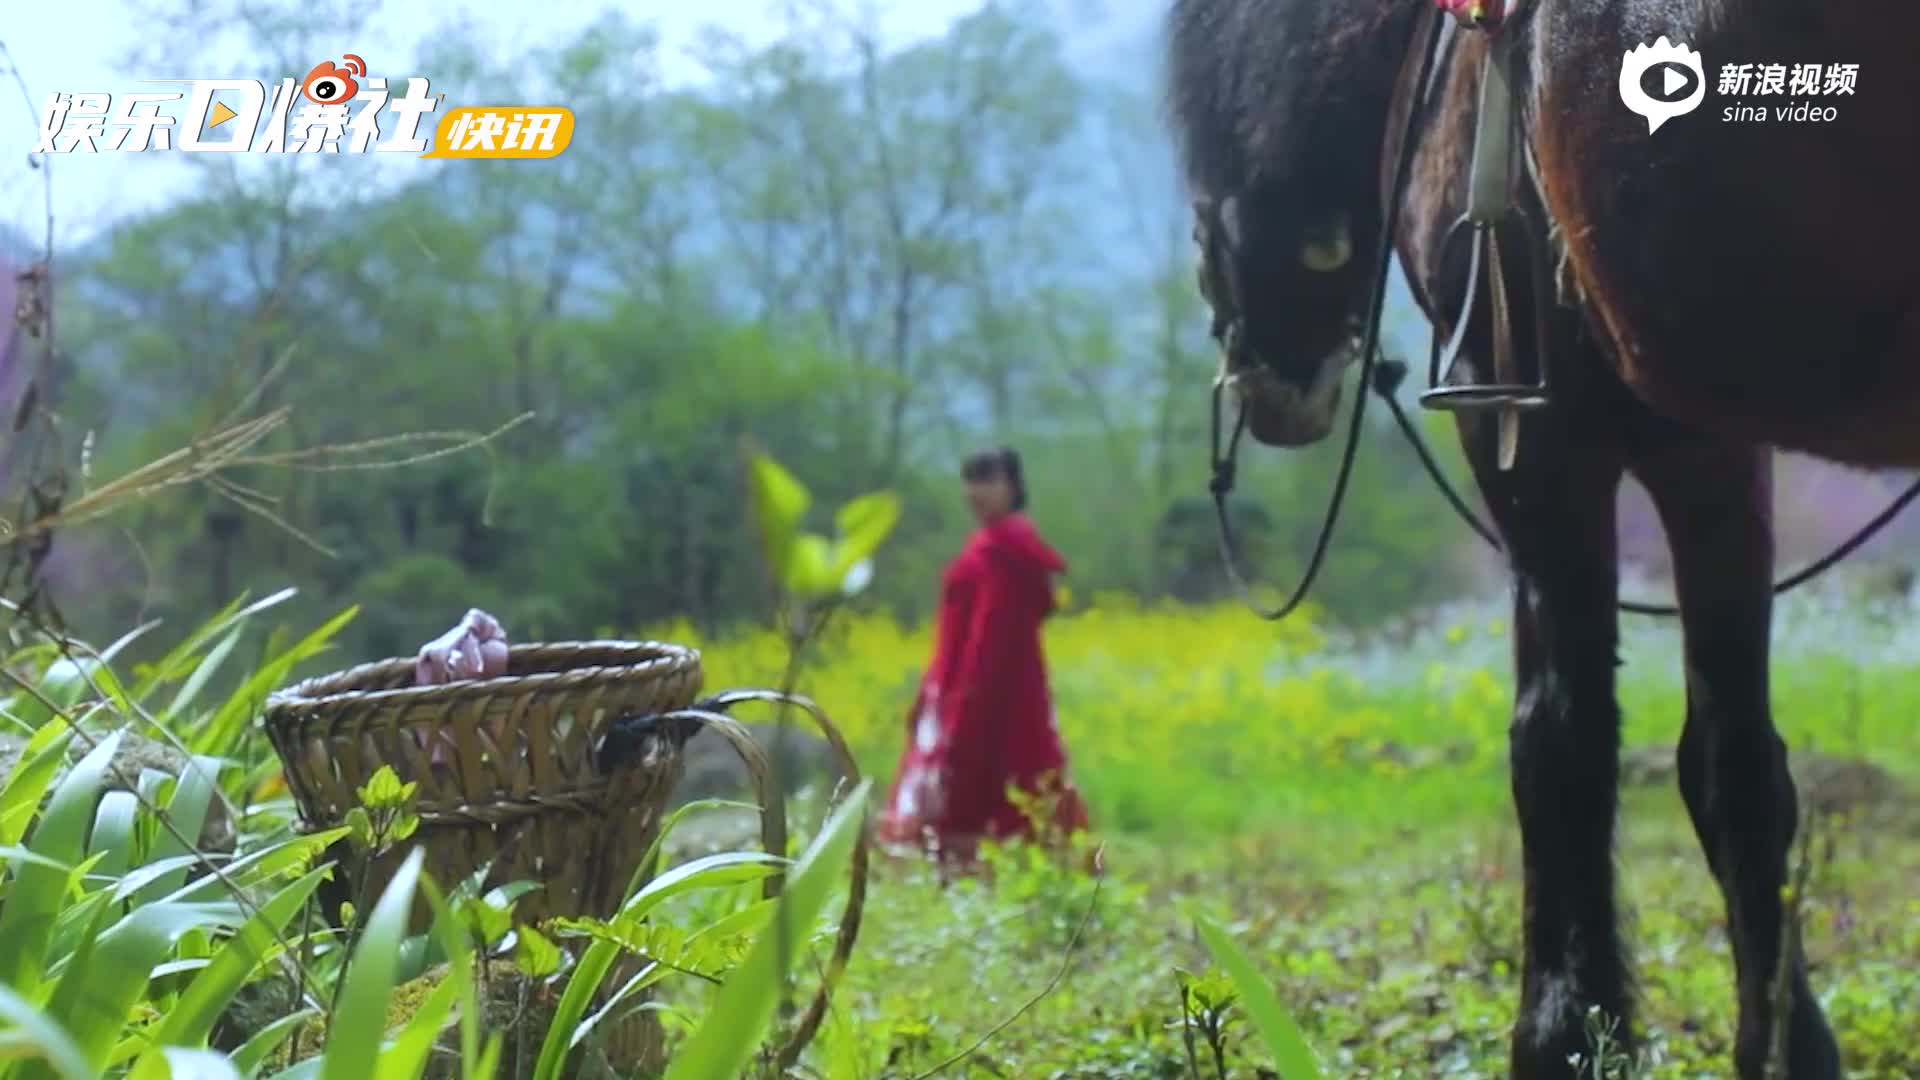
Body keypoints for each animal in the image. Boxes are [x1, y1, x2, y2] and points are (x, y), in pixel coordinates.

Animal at [1163, 0, 1920, 1076]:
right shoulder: (1720, 451)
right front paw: (1781, 1041)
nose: (1266, 386)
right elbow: (1736, 763)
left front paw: (1565, 1026)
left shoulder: (1535, 425)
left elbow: (1561, 741)